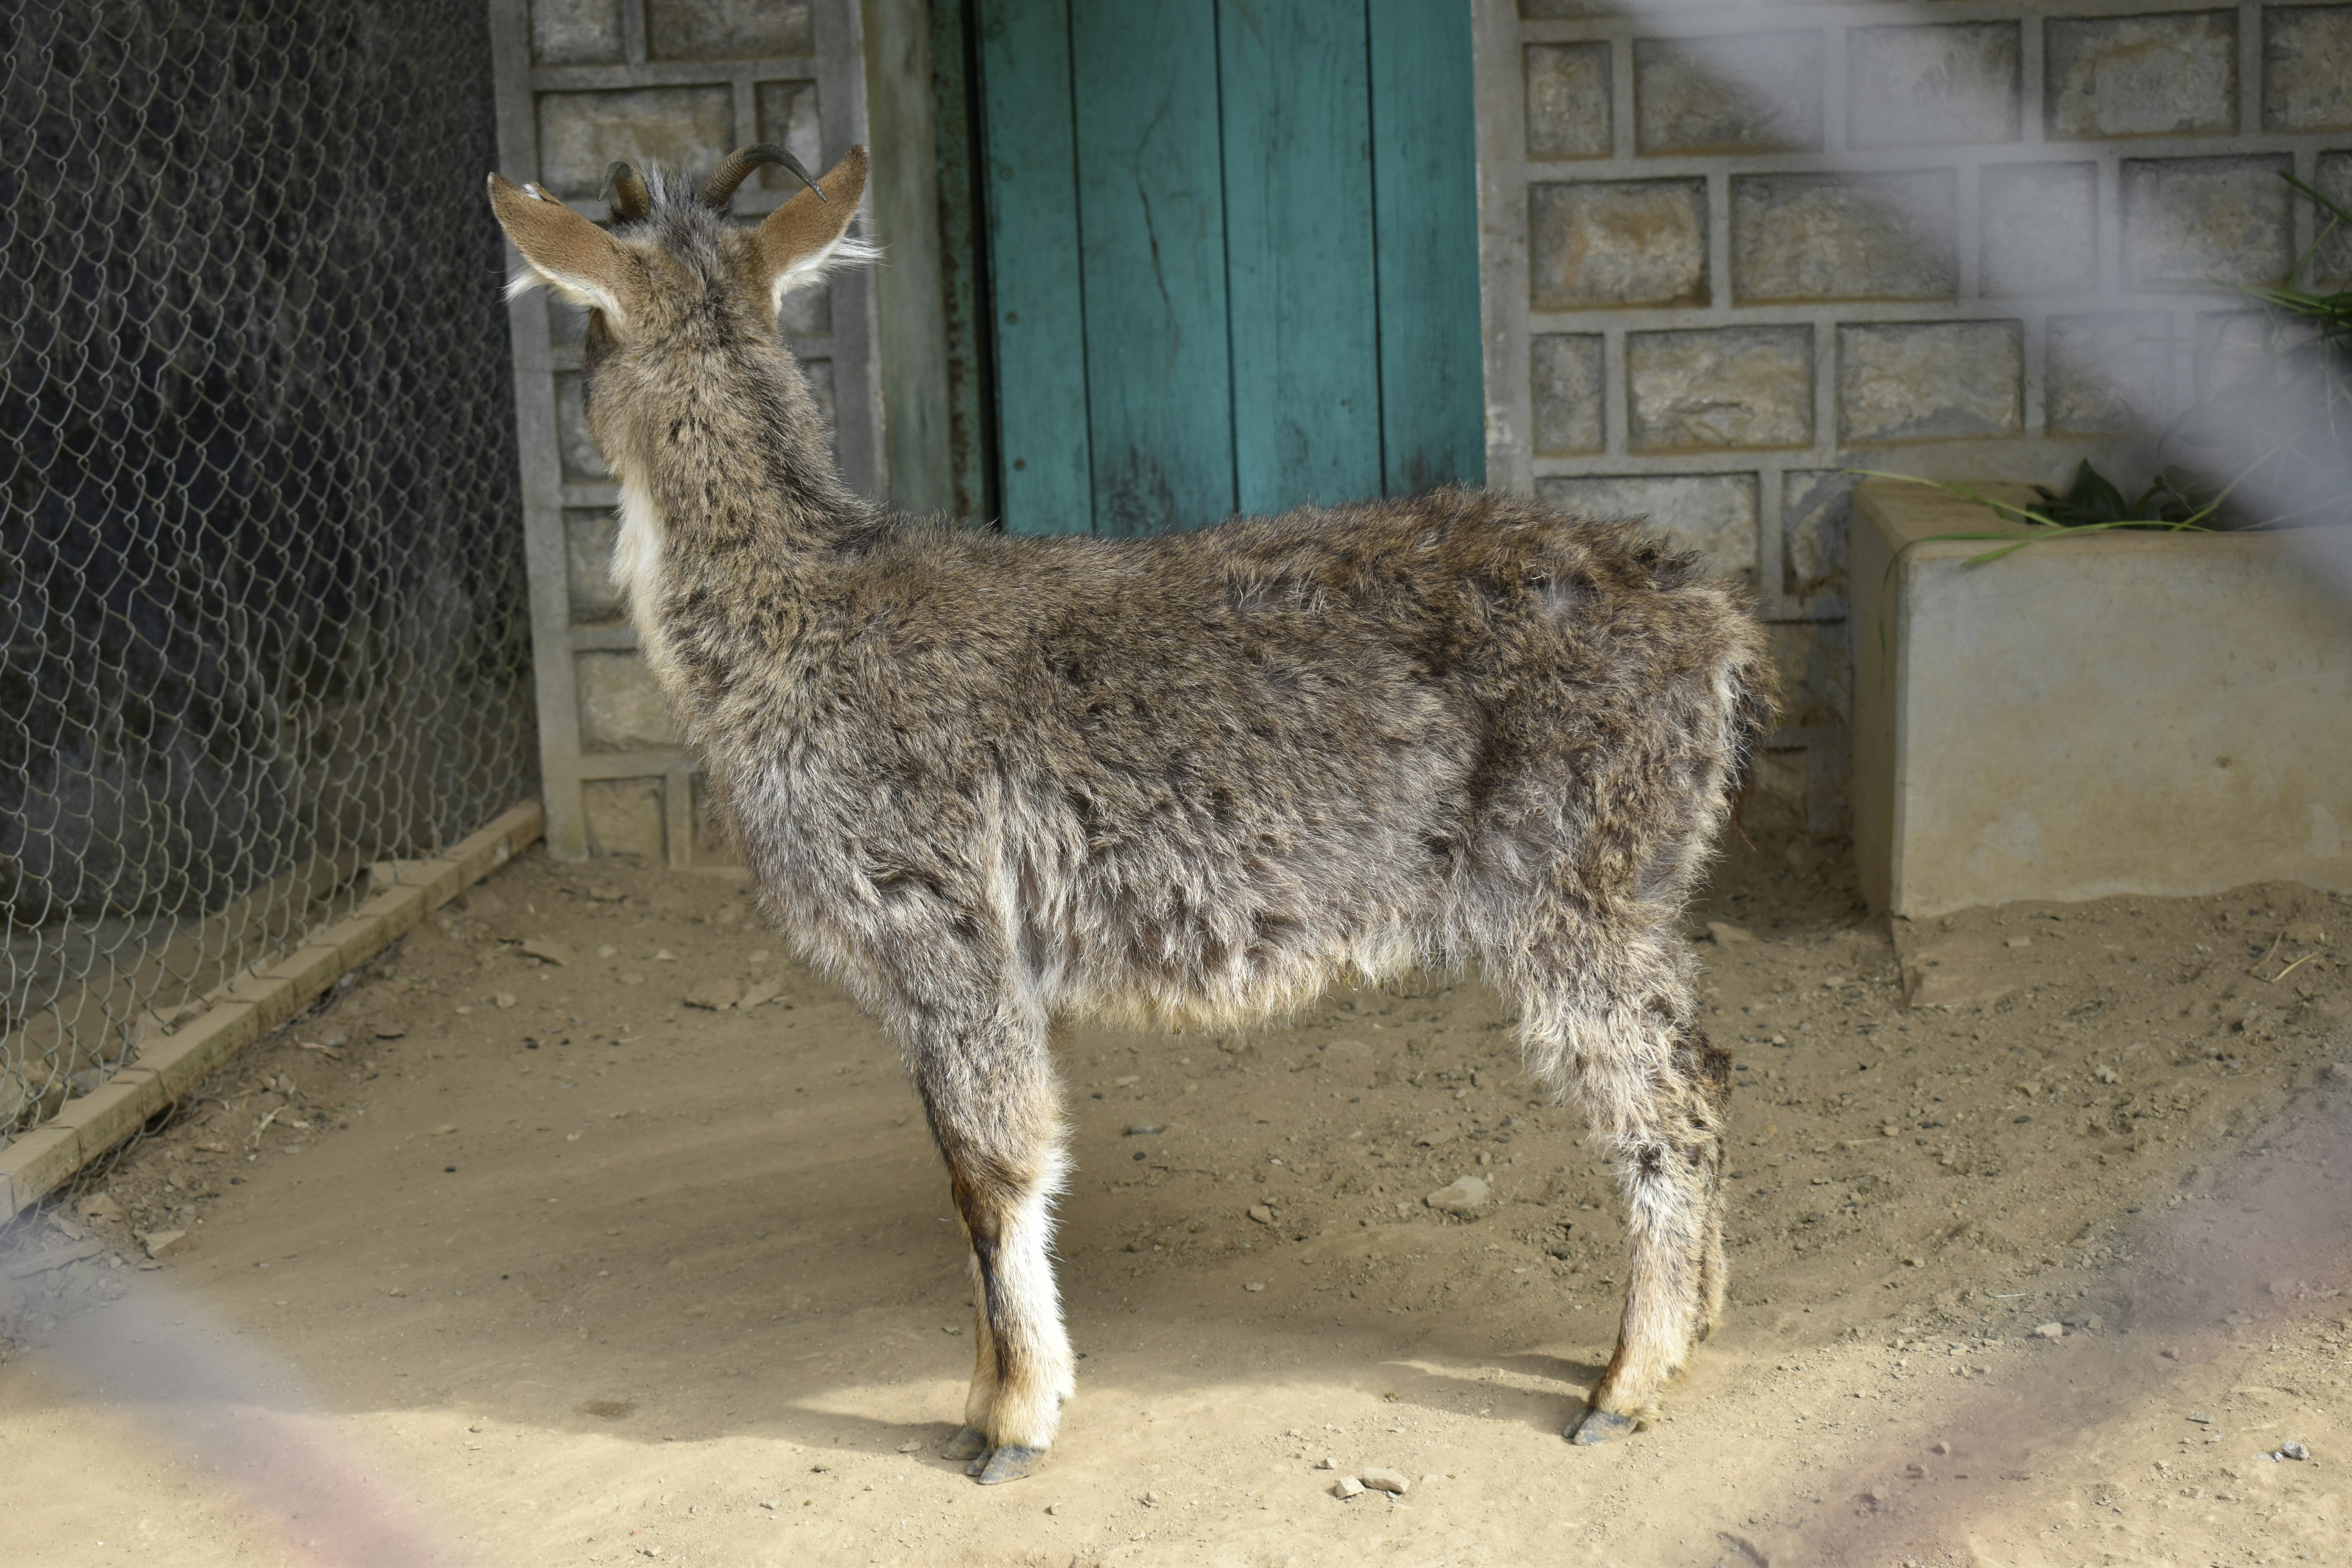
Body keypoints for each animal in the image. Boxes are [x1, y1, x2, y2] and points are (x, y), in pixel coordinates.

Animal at [488, 143, 1776, 1484]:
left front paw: (1009, 1418)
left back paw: (1627, 1378)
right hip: (1635, 891)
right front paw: (996, 1395)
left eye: (581, 330)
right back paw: (1701, 1320)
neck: (793, 616)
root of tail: (1719, 632)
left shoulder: (940, 922)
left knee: (1662, 1100)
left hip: (1568, 882)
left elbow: (992, 1170)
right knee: (1705, 1058)